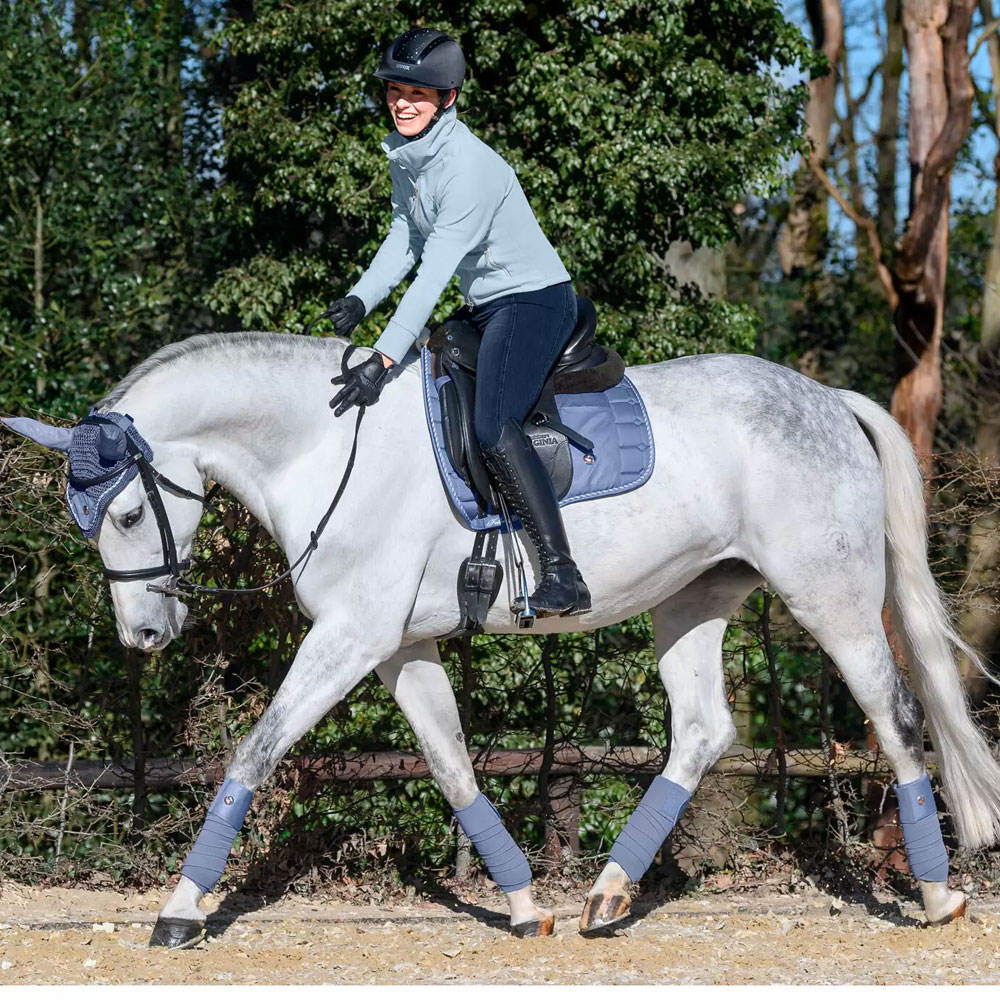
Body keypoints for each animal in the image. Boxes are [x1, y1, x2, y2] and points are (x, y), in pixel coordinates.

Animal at [6, 331, 1000, 949]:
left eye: (127, 513)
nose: (143, 635)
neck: (325, 453)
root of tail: (825, 399)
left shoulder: (350, 635)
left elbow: (256, 750)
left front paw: (178, 911)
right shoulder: (397, 648)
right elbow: (452, 769)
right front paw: (524, 906)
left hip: (829, 597)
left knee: (897, 715)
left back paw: (937, 894)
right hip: (691, 599)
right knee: (704, 730)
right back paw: (606, 892)